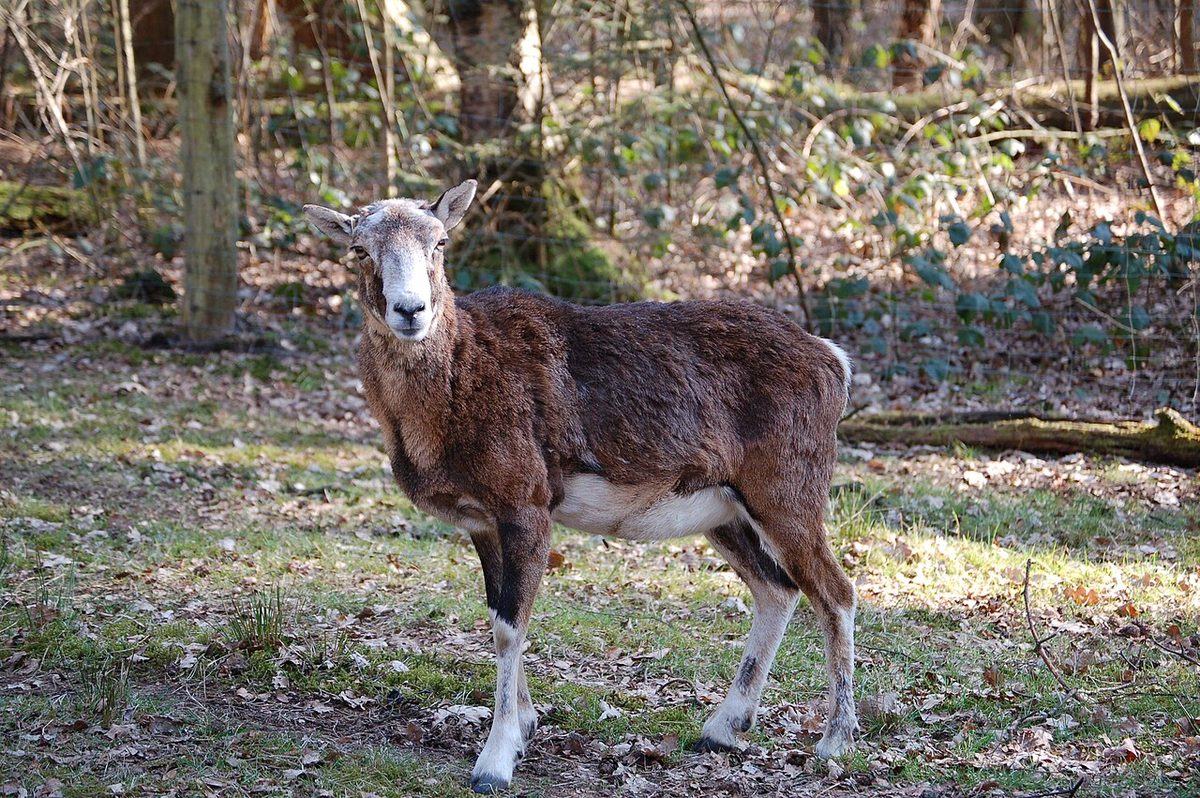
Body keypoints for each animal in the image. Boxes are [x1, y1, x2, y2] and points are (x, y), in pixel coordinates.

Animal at [303, 180, 857, 794]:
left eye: (440, 242)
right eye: (359, 249)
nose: (410, 310)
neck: (457, 390)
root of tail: (834, 361)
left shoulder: (526, 504)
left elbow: (510, 628)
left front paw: (494, 763)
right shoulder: (483, 522)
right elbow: (498, 616)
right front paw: (525, 726)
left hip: (787, 496)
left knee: (836, 593)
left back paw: (833, 744)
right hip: (725, 511)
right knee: (776, 590)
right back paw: (719, 731)